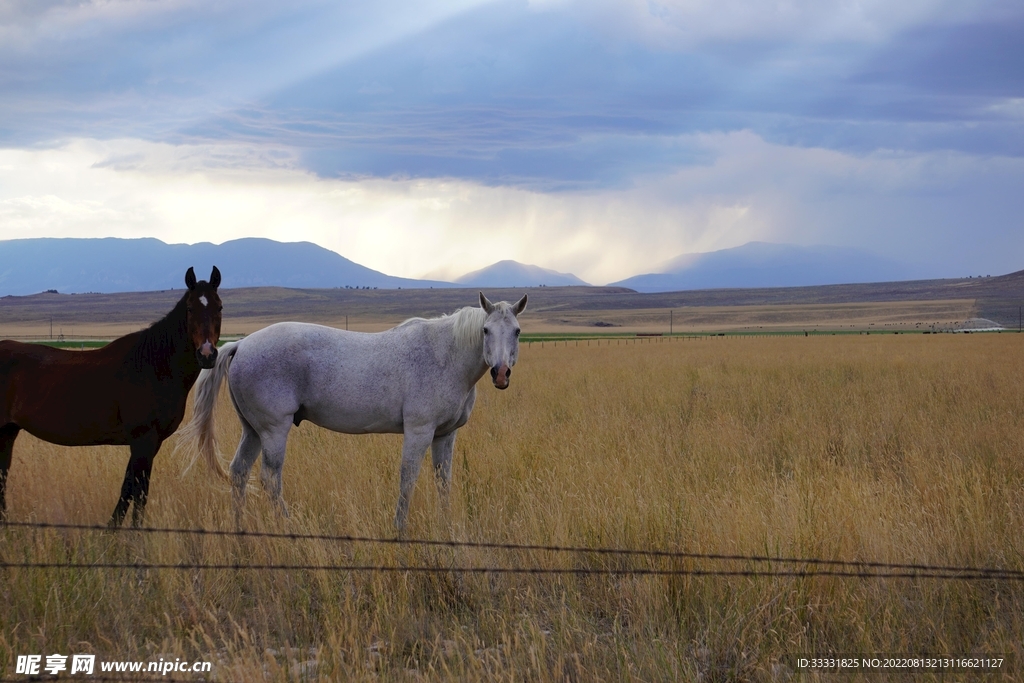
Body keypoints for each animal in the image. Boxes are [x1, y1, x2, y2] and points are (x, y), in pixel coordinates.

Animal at [0, 267, 223, 527]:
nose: (207, 354)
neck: (154, 366)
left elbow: (129, 488)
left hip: (7, 432)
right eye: (190, 308)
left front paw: (112, 530)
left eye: (219, 307)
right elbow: (138, 491)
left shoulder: (149, 443)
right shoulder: (143, 440)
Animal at [181, 292, 527, 532]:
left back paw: (239, 528)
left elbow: (443, 480)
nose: (501, 373)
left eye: (517, 331)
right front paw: (399, 528)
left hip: (252, 431)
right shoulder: (419, 431)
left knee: (239, 473)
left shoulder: (445, 434)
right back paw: (287, 526)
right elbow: (408, 478)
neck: (444, 355)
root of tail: (240, 344)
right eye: (485, 330)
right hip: (273, 430)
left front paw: (446, 526)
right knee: (270, 479)